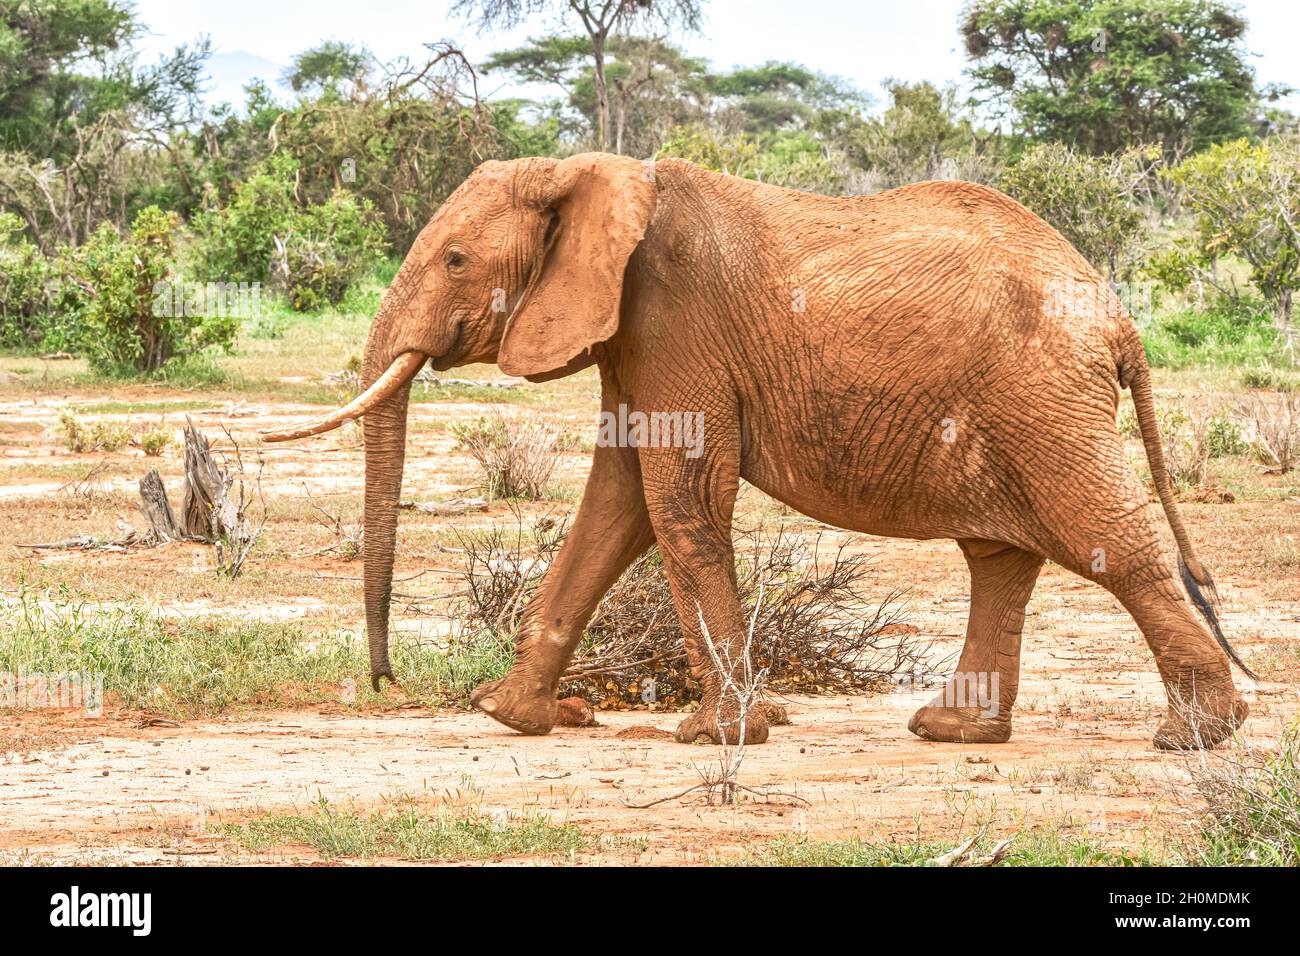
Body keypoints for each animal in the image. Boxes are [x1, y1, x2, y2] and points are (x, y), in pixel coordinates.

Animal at [263, 151, 1248, 749]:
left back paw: (1198, 736)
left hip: (1042, 397)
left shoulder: (675, 321)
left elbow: (678, 501)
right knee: (1000, 556)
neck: (597, 173)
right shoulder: (634, 339)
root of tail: (1116, 315)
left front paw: (722, 734)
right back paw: (951, 733)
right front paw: (517, 717)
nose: (384, 680)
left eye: (457, 261)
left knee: (1106, 540)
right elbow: (617, 504)